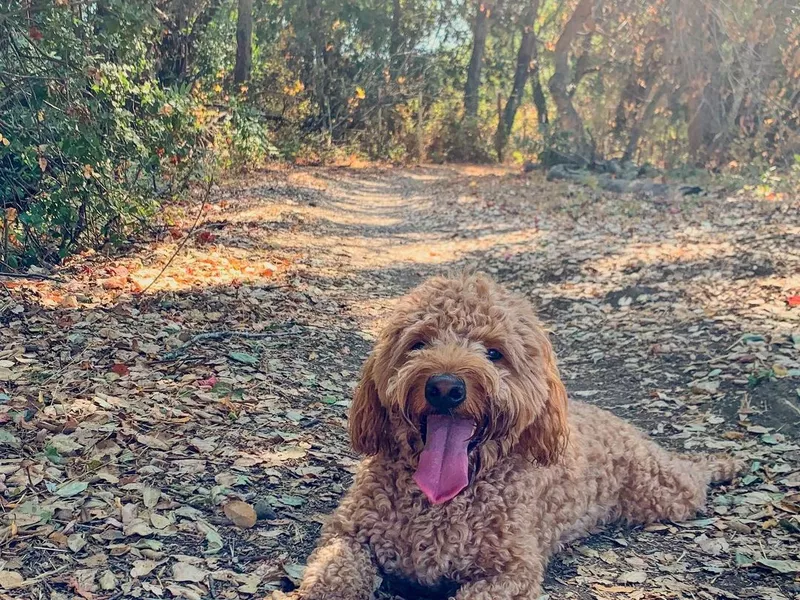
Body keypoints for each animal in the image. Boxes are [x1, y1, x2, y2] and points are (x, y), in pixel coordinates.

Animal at [282, 274, 744, 596]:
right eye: (418, 343)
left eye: (494, 352)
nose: (445, 387)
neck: (442, 500)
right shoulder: (346, 534)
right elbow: (332, 573)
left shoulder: (511, 571)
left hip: (663, 492)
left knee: (691, 475)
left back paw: (722, 463)